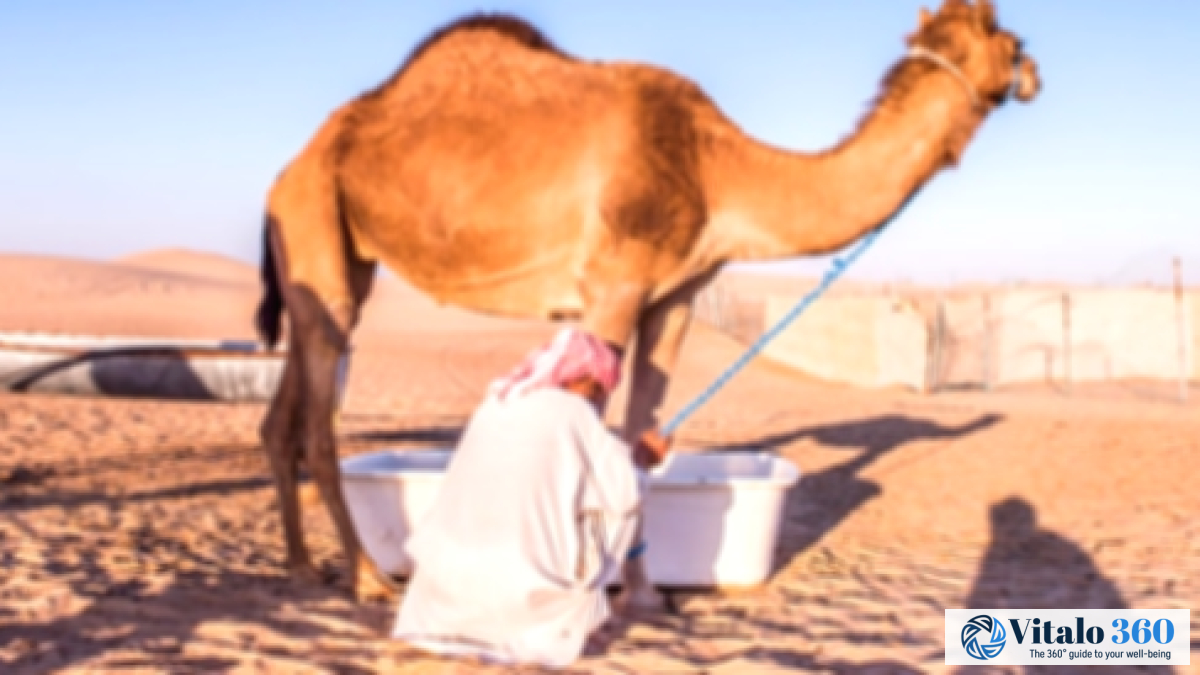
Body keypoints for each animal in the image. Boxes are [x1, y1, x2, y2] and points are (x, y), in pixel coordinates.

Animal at [256, 0, 1040, 601]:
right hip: (318, 229)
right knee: (320, 424)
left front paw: (641, 591)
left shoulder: (674, 298)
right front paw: (577, 590)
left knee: (281, 417)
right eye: (1011, 36)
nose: (1033, 74)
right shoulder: (612, 287)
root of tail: (286, 173)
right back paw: (366, 578)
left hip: (330, 256)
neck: (713, 167)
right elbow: (584, 439)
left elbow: (638, 443)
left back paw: (299, 565)